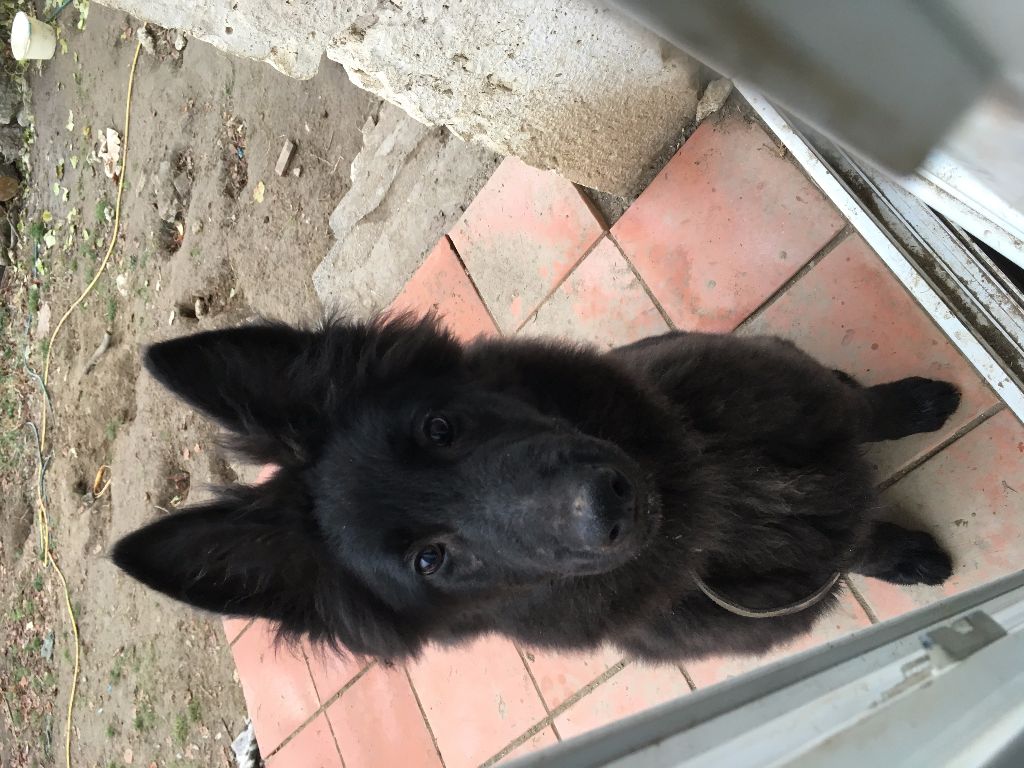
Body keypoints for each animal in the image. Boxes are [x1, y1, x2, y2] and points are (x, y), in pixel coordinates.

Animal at [112, 315, 958, 662]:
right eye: (430, 561)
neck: (721, 502)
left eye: (440, 427)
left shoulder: (819, 405)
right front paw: (909, 557)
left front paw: (921, 404)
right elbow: (863, 540)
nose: (605, 506)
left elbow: (865, 411)